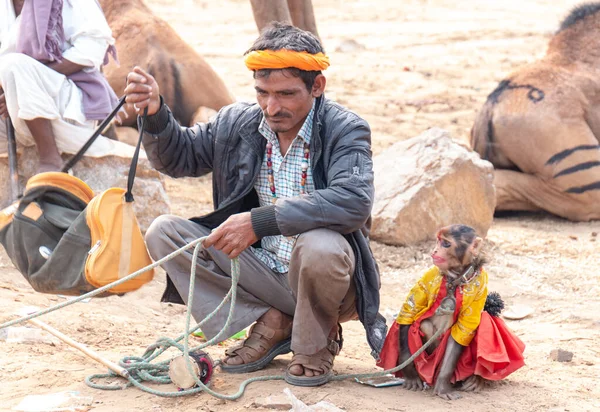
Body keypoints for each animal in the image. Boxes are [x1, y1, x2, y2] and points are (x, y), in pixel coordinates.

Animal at [376, 224, 524, 400]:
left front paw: (442, 385)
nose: (434, 250)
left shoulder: (481, 282)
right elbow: (408, 314)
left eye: (446, 244)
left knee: (485, 318)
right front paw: (411, 374)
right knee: (425, 325)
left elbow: (463, 331)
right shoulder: (430, 275)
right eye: (438, 241)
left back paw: (476, 379)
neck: (455, 279)